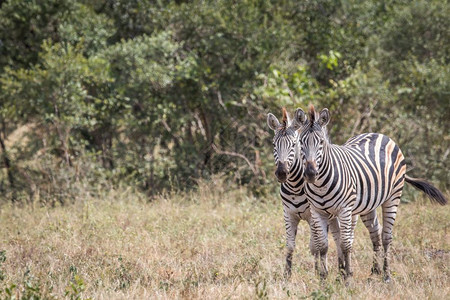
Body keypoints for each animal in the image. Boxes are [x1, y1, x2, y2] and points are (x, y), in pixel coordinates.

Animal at [268, 108, 344, 278]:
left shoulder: (312, 216)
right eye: (274, 145)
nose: (281, 173)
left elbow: (315, 246)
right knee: (337, 237)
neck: (295, 187)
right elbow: (290, 245)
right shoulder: (288, 214)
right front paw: (287, 275)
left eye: (293, 144)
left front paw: (319, 272)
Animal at [296, 105, 446, 282]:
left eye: (321, 142)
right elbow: (323, 245)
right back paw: (375, 270)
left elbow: (345, 244)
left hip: (393, 197)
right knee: (375, 233)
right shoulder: (317, 211)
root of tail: (379, 134)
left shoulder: (344, 210)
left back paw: (386, 275)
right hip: (367, 205)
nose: (310, 173)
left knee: (386, 236)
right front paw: (323, 279)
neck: (320, 185)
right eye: (300, 142)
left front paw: (347, 279)